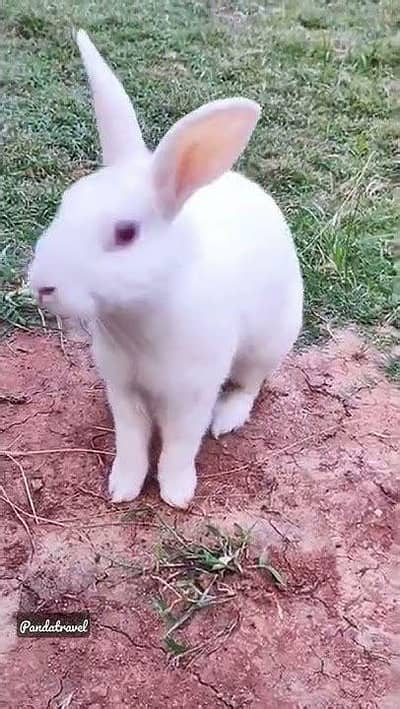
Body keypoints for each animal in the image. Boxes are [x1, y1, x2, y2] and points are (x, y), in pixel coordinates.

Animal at [28, 30, 303, 509]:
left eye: (125, 233)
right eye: (65, 203)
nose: (40, 284)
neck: (139, 317)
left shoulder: (192, 395)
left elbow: (179, 444)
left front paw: (176, 492)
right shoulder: (122, 390)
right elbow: (132, 442)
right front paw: (122, 488)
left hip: (268, 344)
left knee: (249, 385)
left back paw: (228, 418)